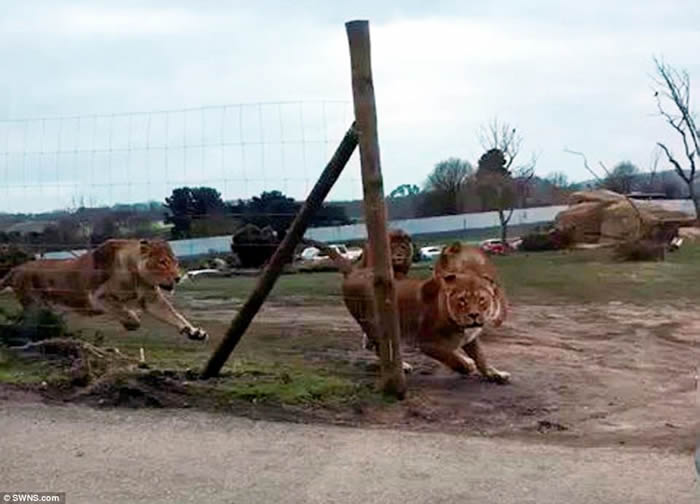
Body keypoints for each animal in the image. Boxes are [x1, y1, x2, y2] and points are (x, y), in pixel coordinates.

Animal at [0, 239, 207, 341]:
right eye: (162, 262)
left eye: (176, 262)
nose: (177, 277)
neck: (137, 276)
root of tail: (16, 268)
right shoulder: (98, 296)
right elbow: (124, 311)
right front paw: (131, 322)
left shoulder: (152, 300)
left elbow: (175, 316)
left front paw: (193, 332)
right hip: (34, 305)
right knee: (25, 326)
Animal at [325, 243, 510, 383]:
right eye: (462, 300)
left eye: (482, 300)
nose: (474, 315)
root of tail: (354, 271)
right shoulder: (427, 343)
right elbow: (451, 357)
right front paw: (466, 366)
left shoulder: (470, 338)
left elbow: (481, 358)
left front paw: (495, 374)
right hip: (373, 322)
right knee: (379, 347)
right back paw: (402, 366)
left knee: (372, 344)